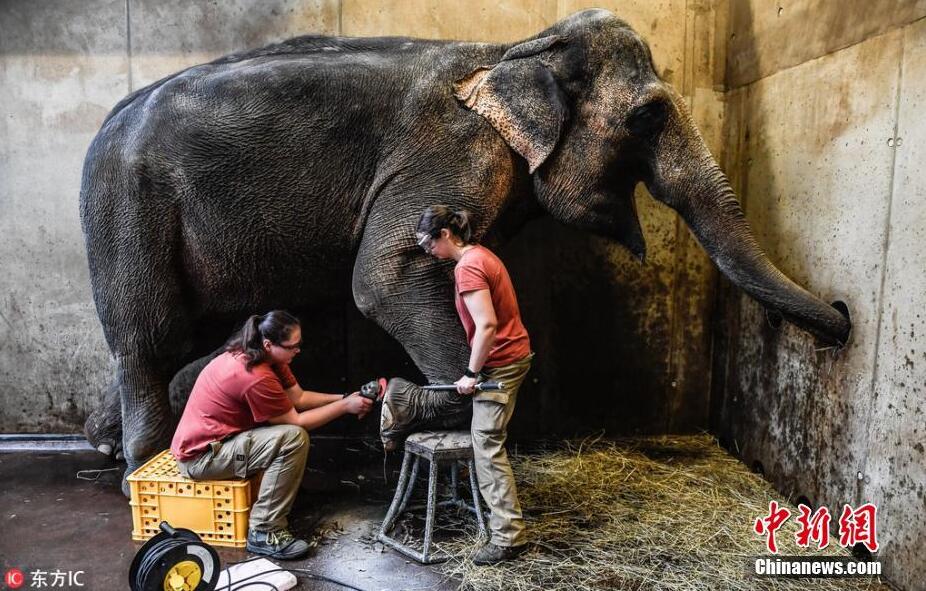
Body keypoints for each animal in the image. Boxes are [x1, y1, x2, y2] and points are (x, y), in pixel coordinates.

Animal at [80, 8, 848, 494]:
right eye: (647, 117)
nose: (842, 318)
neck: (514, 48)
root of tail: (110, 119)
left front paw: (393, 410)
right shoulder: (456, 154)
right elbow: (388, 277)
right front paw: (398, 411)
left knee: (197, 338)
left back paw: (106, 443)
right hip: (126, 211)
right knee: (149, 338)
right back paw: (141, 470)